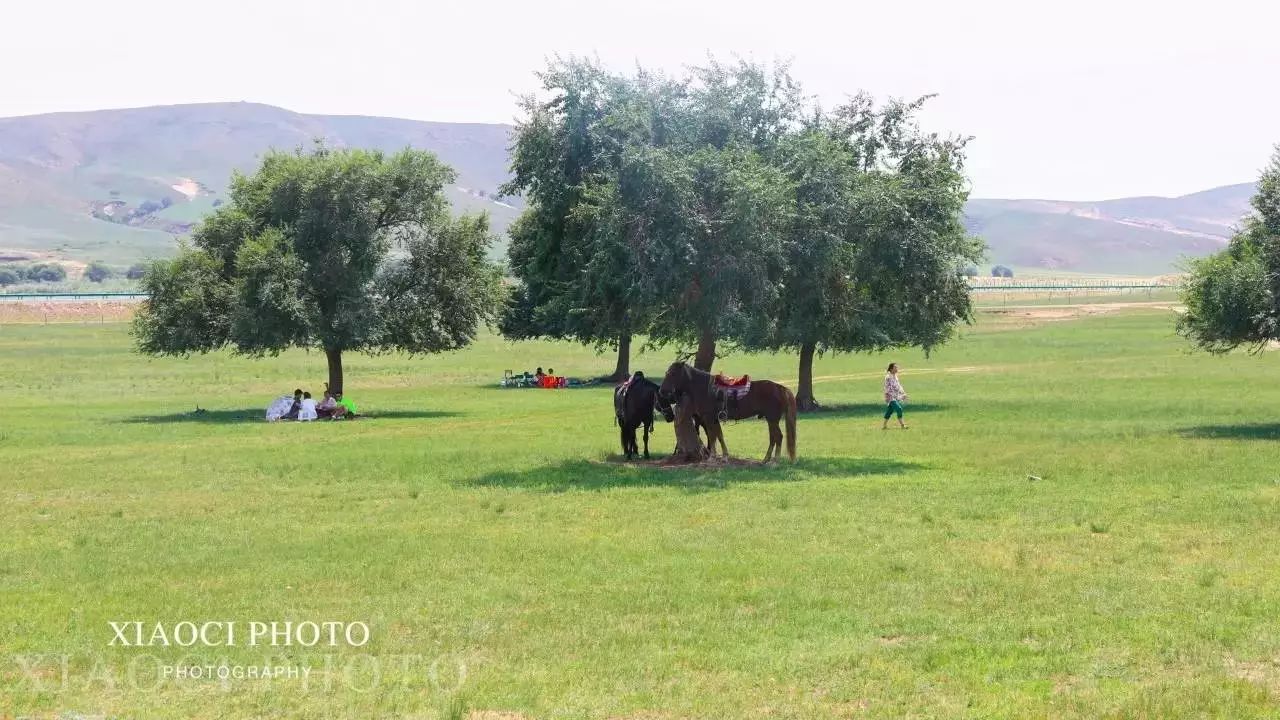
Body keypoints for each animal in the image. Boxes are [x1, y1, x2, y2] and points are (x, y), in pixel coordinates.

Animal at [665, 358, 793, 458]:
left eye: (673, 373)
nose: (663, 390)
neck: (706, 389)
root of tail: (780, 388)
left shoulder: (709, 418)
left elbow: (712, 436)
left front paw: (713, 456)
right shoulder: (714, 419)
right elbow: (719, 435)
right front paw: (724, 455)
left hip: (772, 419)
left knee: (778, 437)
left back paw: (775, 461)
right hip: (771, 420)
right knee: (774, 438)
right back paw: (766, 460)